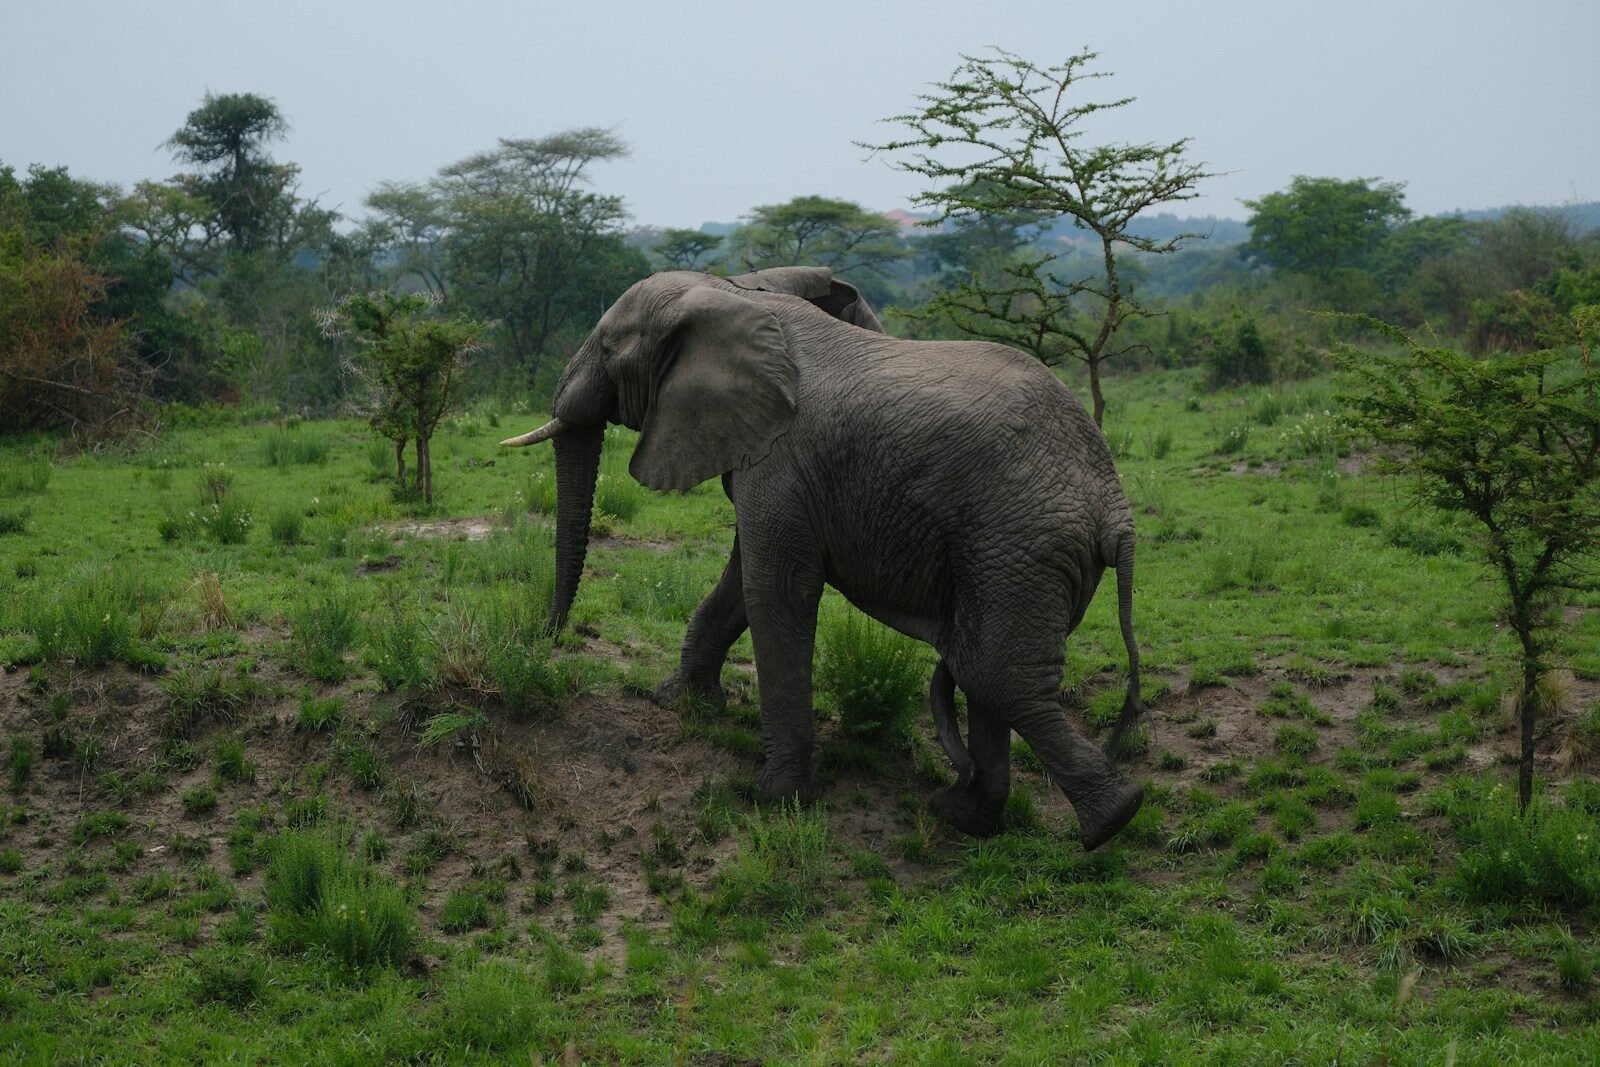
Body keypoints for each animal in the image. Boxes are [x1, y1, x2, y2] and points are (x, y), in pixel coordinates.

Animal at [501, 266, 1145, 849]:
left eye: (609, 347)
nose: (545, 640)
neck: (733, 291)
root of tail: (1115, 510)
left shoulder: (782, 456)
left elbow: (776, 589)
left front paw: (775, 800)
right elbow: (742, 581)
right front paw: (680, 703)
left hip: (1019, 543)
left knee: (997, 675)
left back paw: (1112, 820)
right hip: (1012, 554)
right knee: (983, 668)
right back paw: (963, 816)